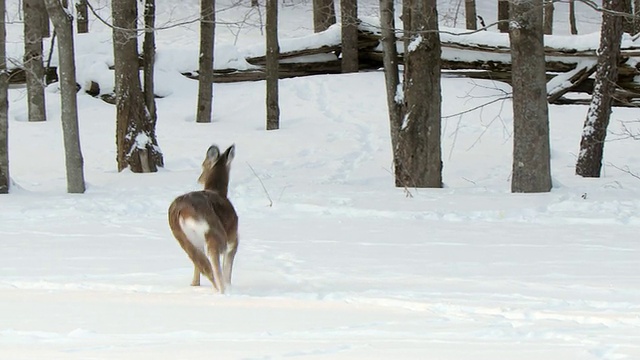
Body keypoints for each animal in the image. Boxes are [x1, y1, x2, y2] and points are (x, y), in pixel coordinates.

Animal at [169, 143, 239, 292]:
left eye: (203, 164)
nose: (199, 179)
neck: (218, 191)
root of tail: (181, 210)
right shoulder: (234, 236)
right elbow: (228, 266)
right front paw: (229, 284)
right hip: (215, 232)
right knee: (213, 260)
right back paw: (223, 290)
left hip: (183, 237)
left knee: (201, 263)